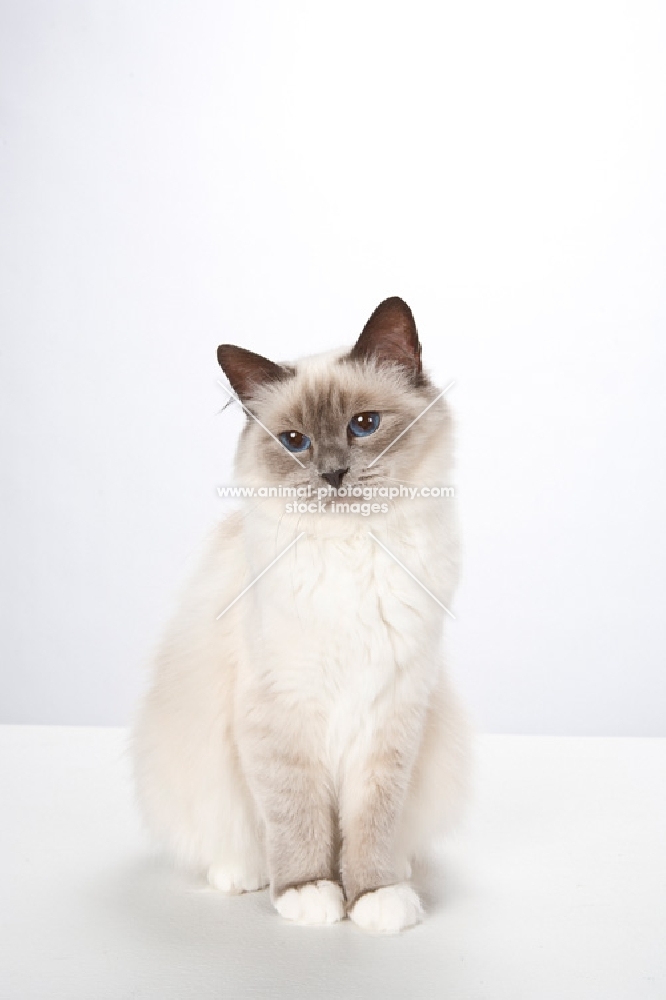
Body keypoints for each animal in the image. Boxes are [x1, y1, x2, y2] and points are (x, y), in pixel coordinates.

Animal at [131, 294, 466, 928]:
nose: (333, 474)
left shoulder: (389, 718)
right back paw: (243, 875)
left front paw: (373, 898)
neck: (351, 553)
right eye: (294, 441)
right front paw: (309, 894)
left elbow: (371, 825)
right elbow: (297, 819)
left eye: (364, 425)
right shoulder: (280, 715)